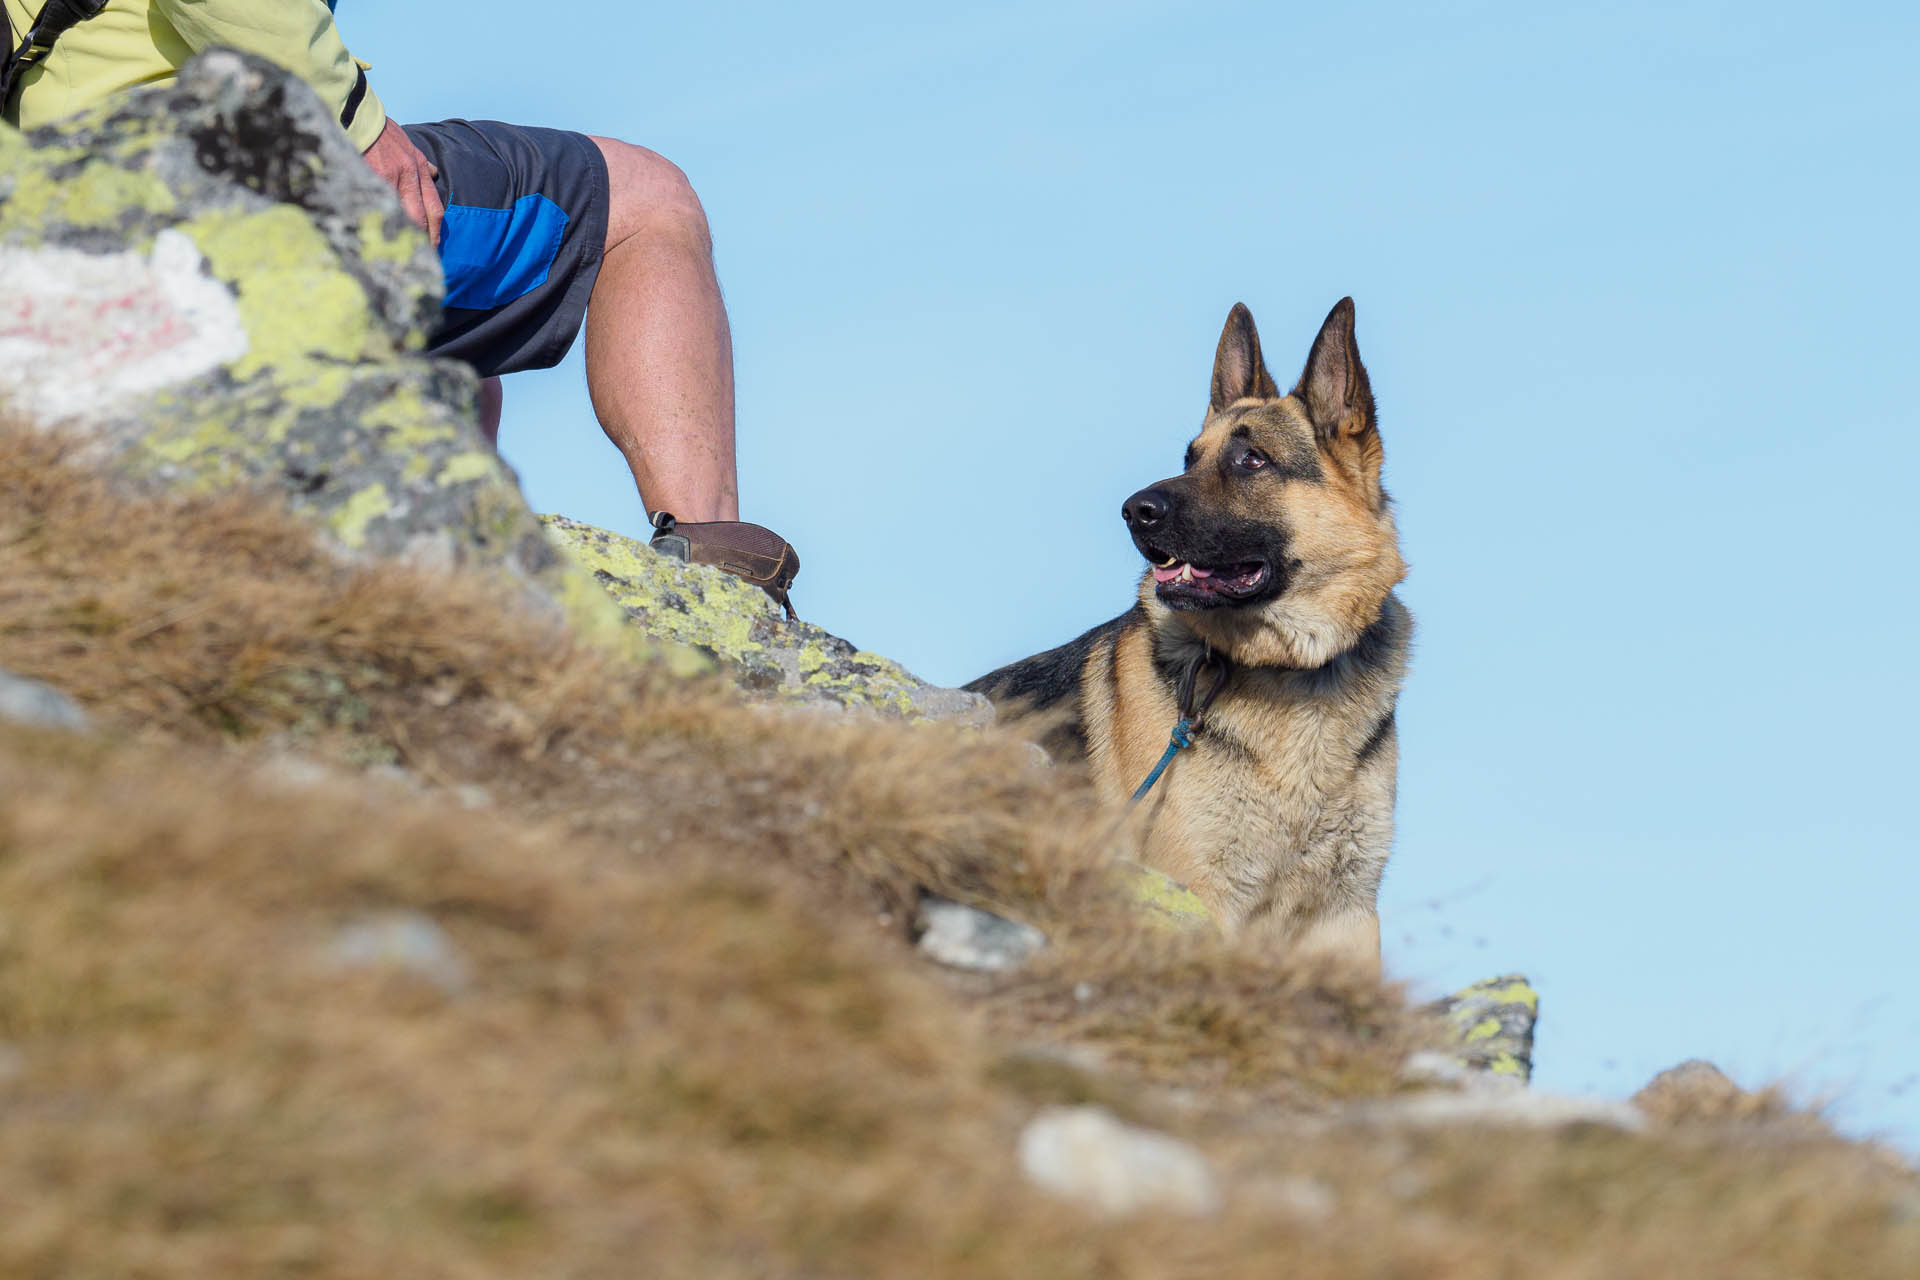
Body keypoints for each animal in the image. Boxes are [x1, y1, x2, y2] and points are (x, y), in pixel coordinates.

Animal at [975, 303, 1413, 982]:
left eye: (1252, 460)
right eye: (1189, 458)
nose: (1133, 511)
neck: (1295, 675)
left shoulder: (1344, 917)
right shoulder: (1196, 888)